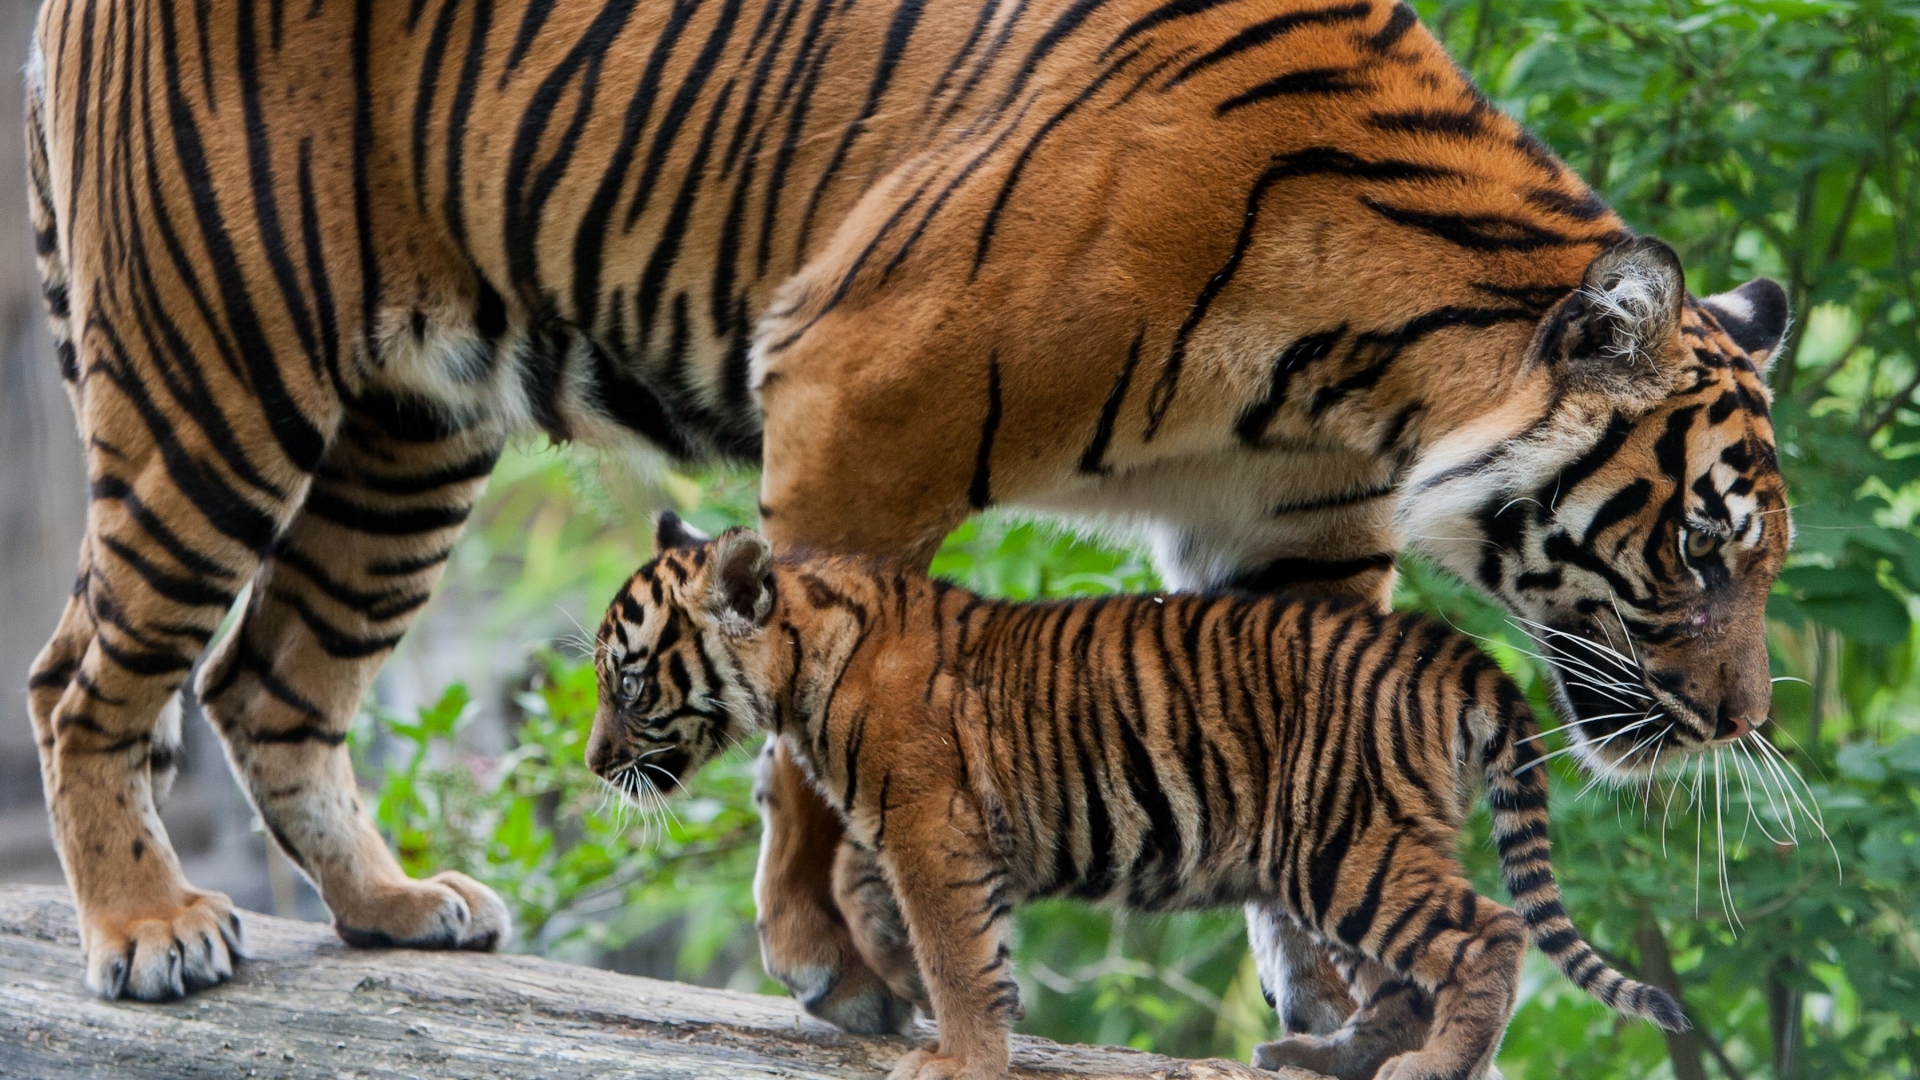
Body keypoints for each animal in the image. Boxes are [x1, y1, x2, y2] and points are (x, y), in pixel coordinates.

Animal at [22, 0, 1781, 1037]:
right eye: (1703, 548)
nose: (1736, 724)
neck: (1363, 371)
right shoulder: (858, 404)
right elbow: (808, 737)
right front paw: (836, 965)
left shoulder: (1297, 540)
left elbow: (1299, 759)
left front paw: (1339, 1001)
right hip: (217, 365)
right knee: (86, 674)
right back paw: (149, 930)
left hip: (411, 426)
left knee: (269, 680)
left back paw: (397, 910)